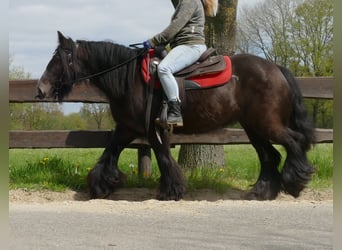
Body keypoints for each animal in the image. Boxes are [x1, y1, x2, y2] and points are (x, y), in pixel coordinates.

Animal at [36, 31, 314, 200]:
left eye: (58, 60)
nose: (41, 89)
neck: (131, 80)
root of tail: (275, 68)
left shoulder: (154, 129)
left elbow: (163, 158)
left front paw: (172, 190)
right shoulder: (126, 128)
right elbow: (108, 153)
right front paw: (100, 185)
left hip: (267, 124)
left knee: (293, 142)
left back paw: (295, 181)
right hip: (253, 127)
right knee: (270, 155)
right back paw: (262, 191)